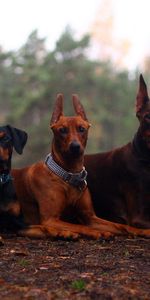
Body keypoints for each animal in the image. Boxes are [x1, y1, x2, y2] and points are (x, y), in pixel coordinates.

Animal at [11, 94, 150, 239]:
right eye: (62, 130)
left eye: (81, 129)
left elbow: (121, 226)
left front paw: (143, 231)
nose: (75, 146)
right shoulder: (50, 219)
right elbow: (79, 226)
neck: (69, 175)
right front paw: (96, 232)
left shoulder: (90, 217)